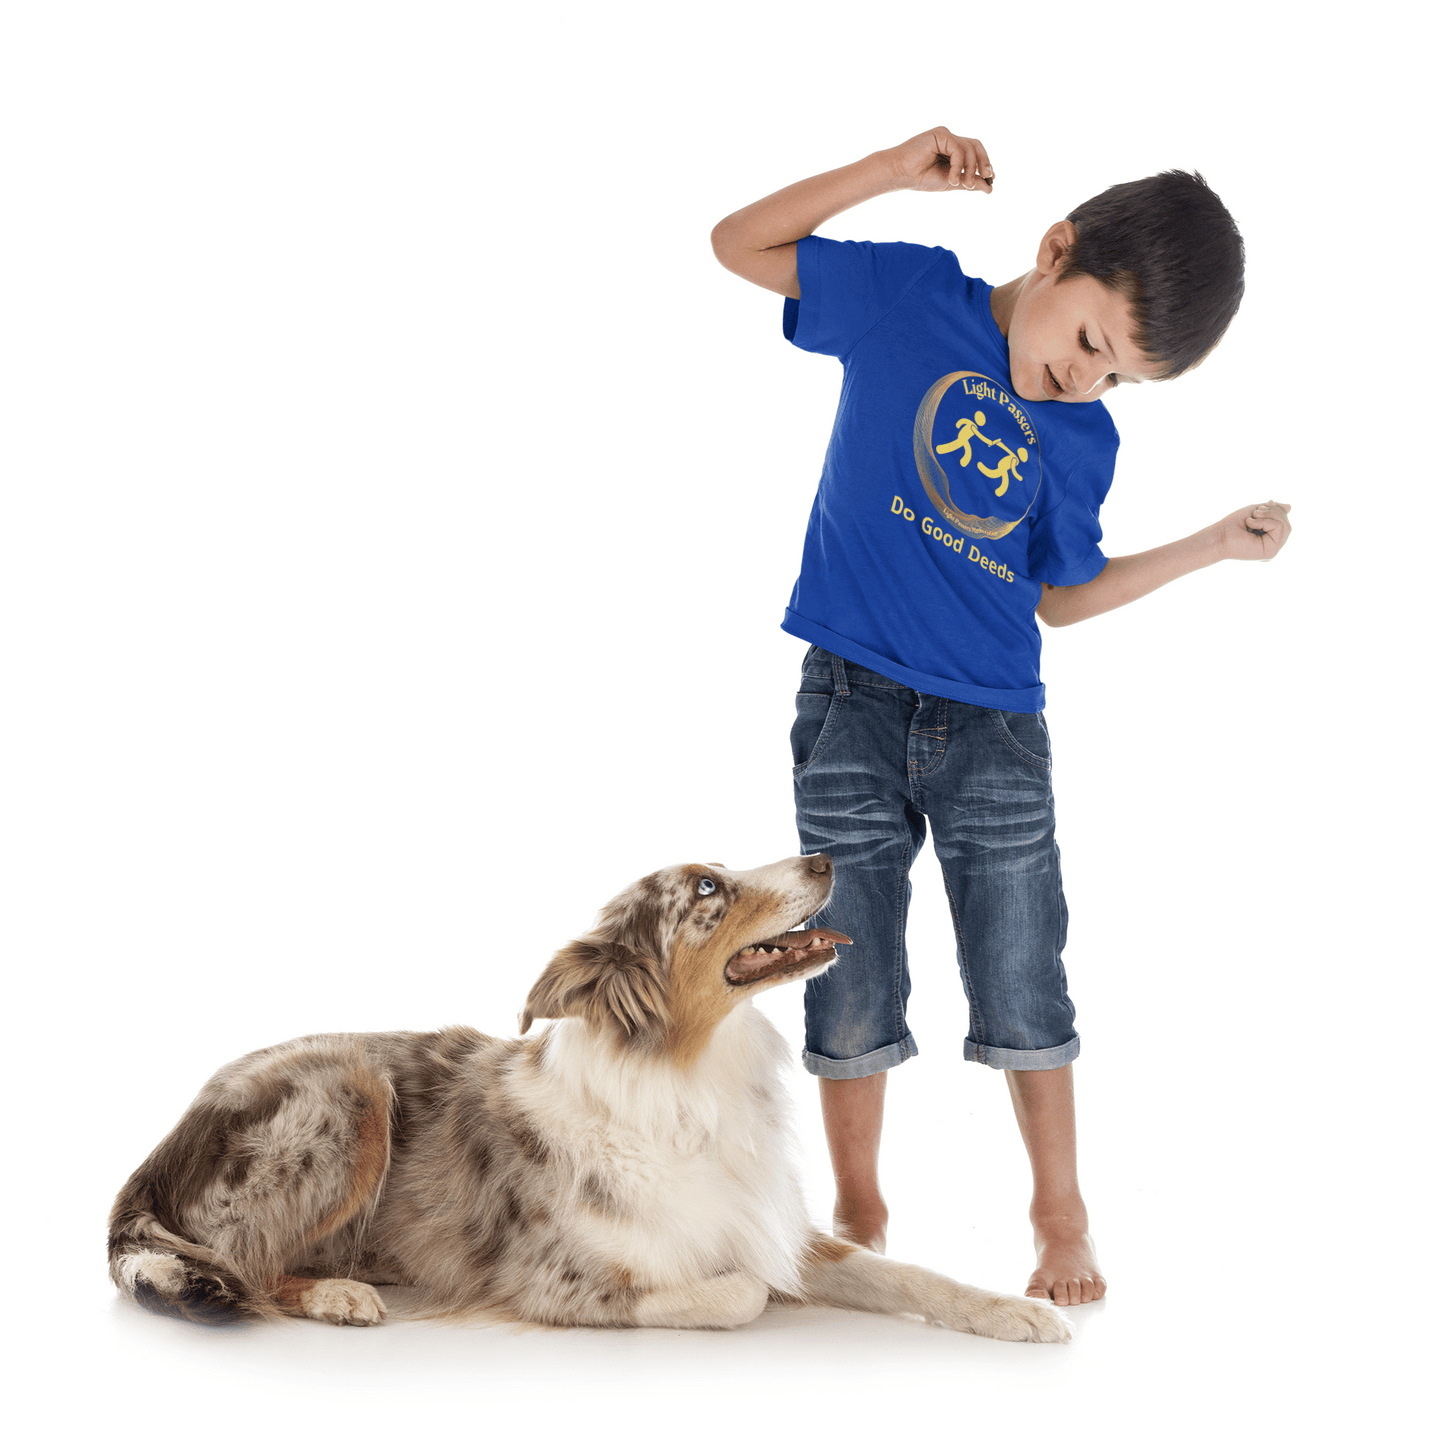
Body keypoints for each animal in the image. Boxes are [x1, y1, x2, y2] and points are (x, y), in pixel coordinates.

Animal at [109, 843, 1075, 1340]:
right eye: (706, 886)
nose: (828, 852)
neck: (690, 1074)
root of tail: (152, 1156)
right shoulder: (555, 1279)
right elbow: (737, 1291)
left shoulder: (778, 1226)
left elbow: (910, 1271)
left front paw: (1017, 1311)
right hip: (346, 1091)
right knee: (243, 1261)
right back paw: (335, 1292)